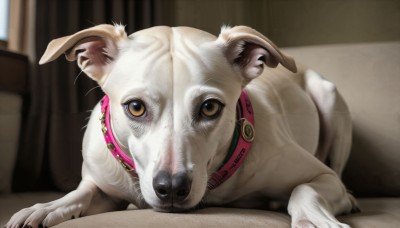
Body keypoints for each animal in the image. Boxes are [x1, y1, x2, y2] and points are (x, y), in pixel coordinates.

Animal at [6, 24, 358, 227]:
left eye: (210, 107)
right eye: (135, 107)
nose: (172, 188)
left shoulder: (321, 176)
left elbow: (304, 189)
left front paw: (313, 219)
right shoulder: (102, 186)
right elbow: (79, 194)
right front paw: (45, 208)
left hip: (329, 100)